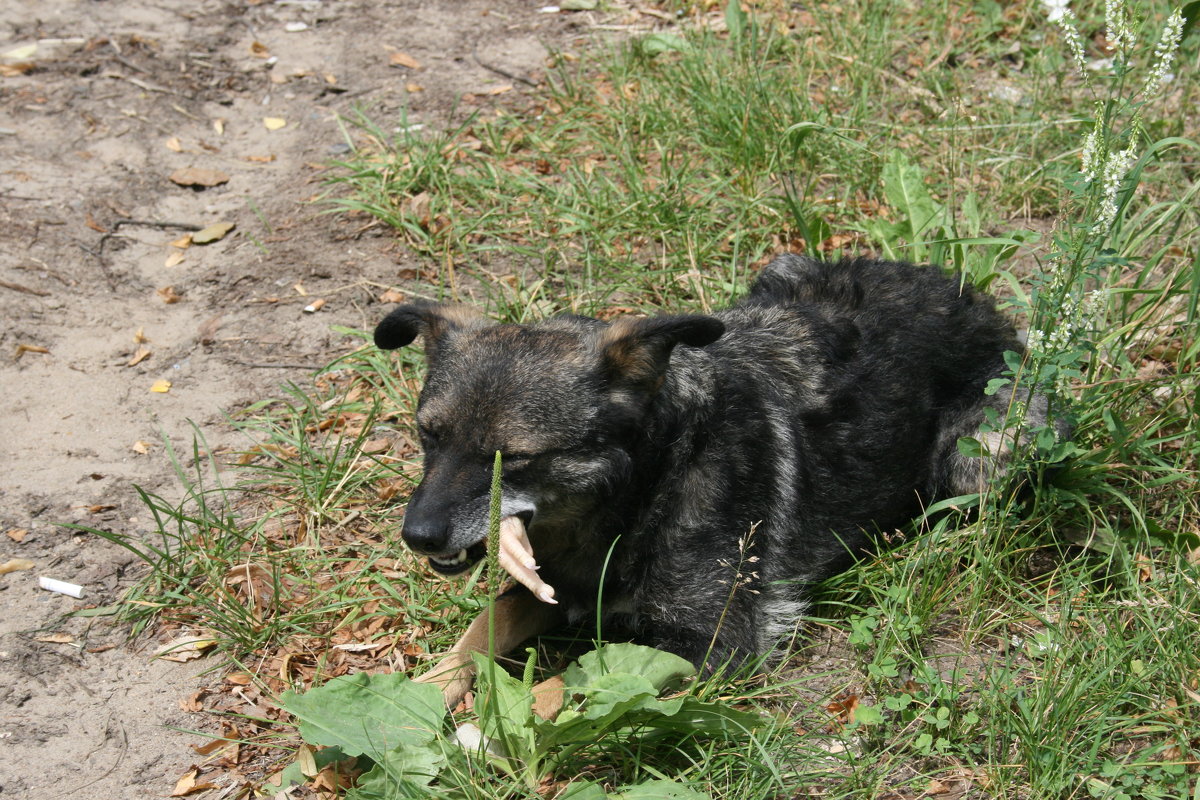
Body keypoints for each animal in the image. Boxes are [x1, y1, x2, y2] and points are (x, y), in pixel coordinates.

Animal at [372, 255, 1051, 705]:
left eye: (510, 458)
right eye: (428, 435)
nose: (417, 536)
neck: (645, 488)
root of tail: (977, 303)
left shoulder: (713, 643)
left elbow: (575, 684)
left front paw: (485, 734)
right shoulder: (554, 588)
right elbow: (480, 628)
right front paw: (416, 701)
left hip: (988, 450)